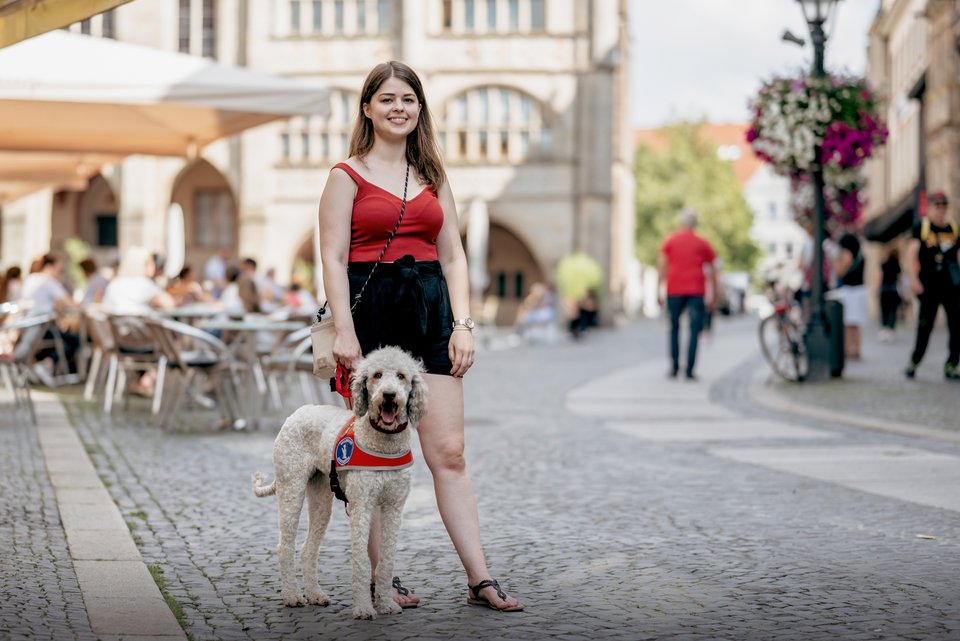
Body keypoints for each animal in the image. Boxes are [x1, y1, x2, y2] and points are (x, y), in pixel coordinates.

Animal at [253, 348, 426, 616]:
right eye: (377, 375)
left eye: (401, 376)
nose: (389, 395)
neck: (382, 442)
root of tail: (296, 413)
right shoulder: (362, 506)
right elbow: (362, 561)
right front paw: (364, 608)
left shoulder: (394, 507)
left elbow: (386, 560)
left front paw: (386, 603)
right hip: (291, 488)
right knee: (285, 547)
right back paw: (292, 596)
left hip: (321, 499)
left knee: (308, 549)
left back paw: (315, 594)